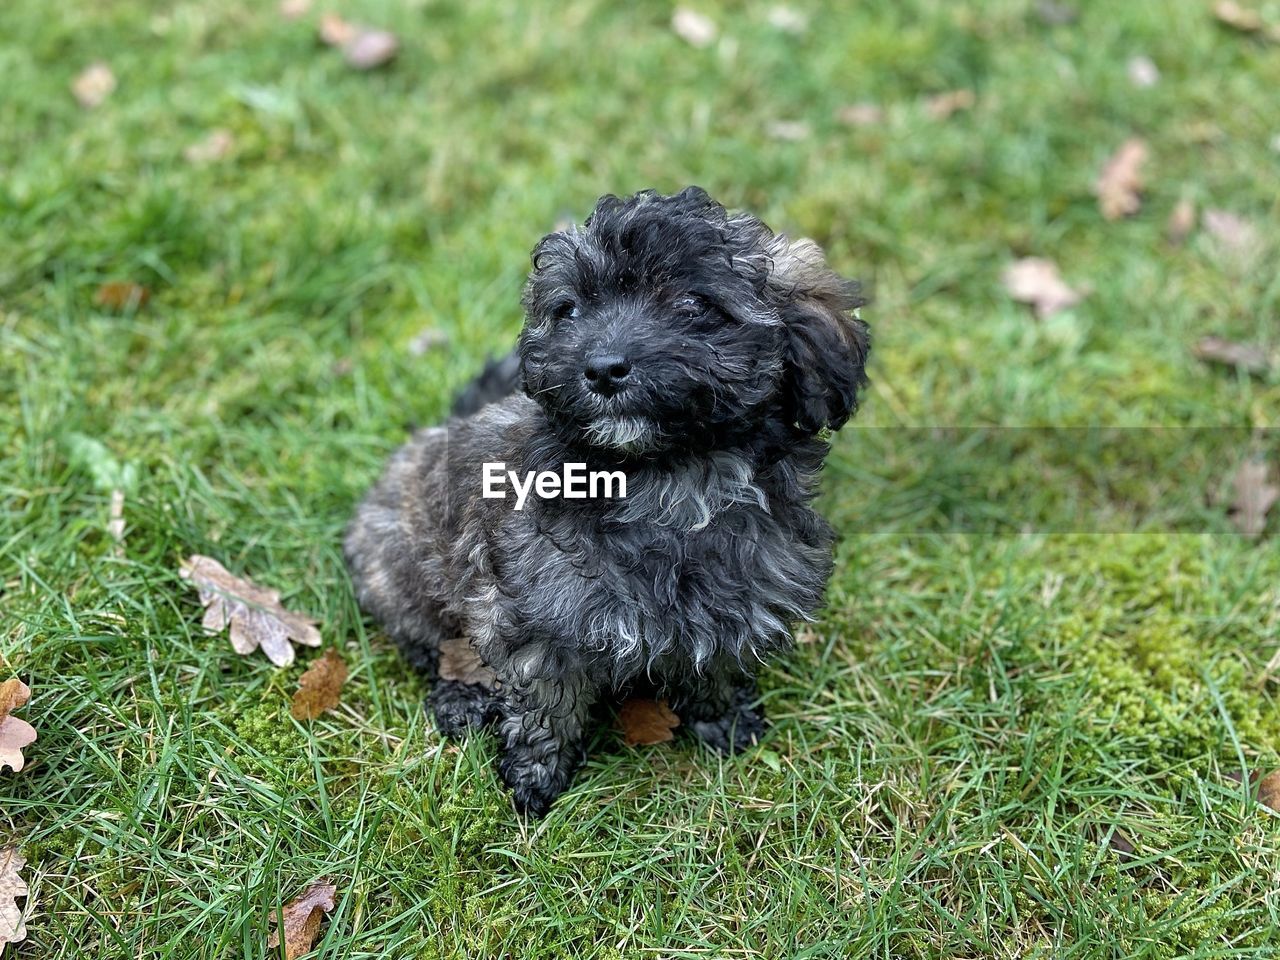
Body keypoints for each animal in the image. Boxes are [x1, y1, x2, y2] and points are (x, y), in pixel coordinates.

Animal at [345, 185, 870, 814]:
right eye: (569, 310)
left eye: (693, 302)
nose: (601, 367)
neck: (667, 484)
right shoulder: (533, 618)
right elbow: (546, 706)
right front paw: (535, 781)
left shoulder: (746, 591)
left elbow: (717, 663)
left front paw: (723, 721)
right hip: (396, 566)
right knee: (430, 642)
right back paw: (461, 699)